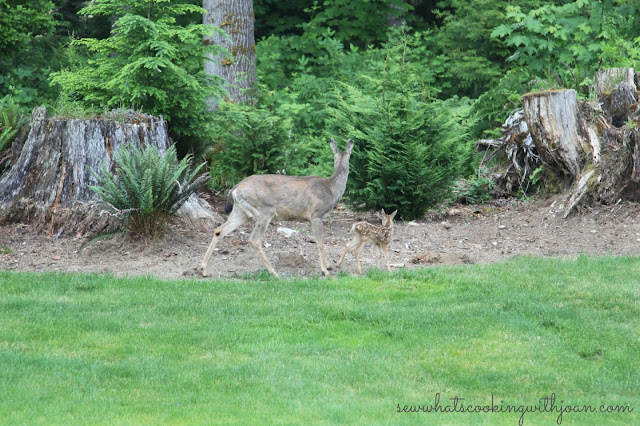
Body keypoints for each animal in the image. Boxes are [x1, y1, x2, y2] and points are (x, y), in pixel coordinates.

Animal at [199, 138, 356, 278]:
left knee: (219, 230)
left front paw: (328, 265)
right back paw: (274, 273)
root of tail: (235, 188)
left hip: (241, 212)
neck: (331, 189)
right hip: (264, 211)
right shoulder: (316, 215)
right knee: (254, 239)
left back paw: (203, 269)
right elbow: (320, 242)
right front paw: (325, 270)